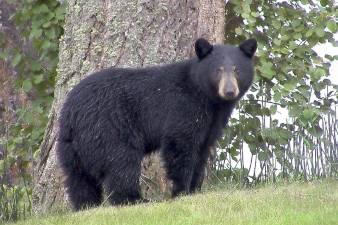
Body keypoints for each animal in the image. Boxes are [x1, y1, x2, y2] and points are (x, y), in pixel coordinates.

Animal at [57, 37, 256, 210]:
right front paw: (181, 191)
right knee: (121, 163)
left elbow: (202, 150)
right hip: (109, 128)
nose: (229, 91)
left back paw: (86, 205)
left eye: (237, 70)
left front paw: (194, 189)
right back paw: (134, 199)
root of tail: (72, 112)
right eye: (218, 70)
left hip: (70, 145)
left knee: (78, 178)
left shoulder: (212, 122)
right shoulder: (183, 107)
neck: (208, 98)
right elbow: (180, 145)